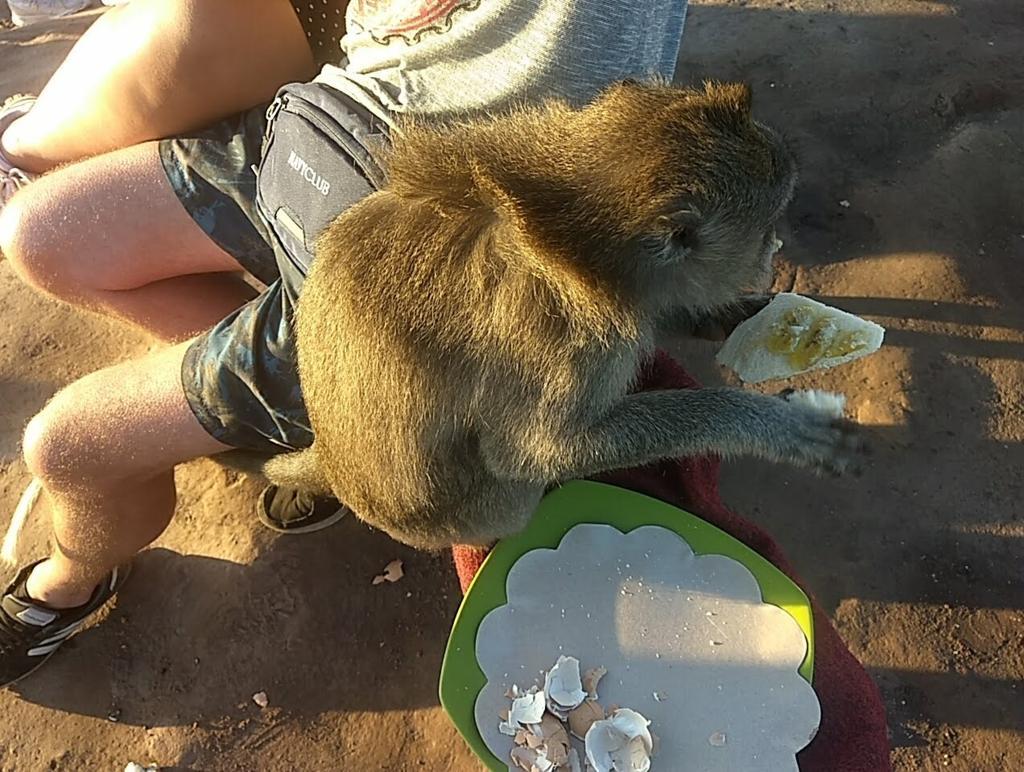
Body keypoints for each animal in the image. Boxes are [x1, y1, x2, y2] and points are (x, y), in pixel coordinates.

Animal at [256, 78, 864, 548]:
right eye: (766, 229)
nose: (771, 253)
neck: (576, 231)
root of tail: (334, 465)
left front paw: (723, 315)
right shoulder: (568, 347)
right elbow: (538, 453)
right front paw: (773, 425)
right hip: (486, 509)